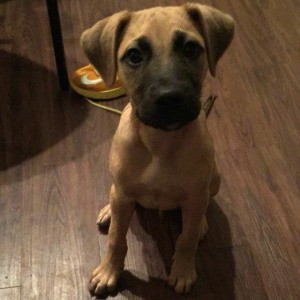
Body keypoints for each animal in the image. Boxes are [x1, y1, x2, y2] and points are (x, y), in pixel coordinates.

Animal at [81, 2, 234, 296]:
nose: (170, 98)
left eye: (190, 49)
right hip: (120, 191)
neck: (160, 141)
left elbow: (186, 239)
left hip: (215, 178)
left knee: (202, 207)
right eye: (134, 55)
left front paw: (183, 271)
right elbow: (117, 239)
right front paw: (109, 271)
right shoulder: (124, 192)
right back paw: (108, 211)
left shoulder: (195, 194)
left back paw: (201, 223)